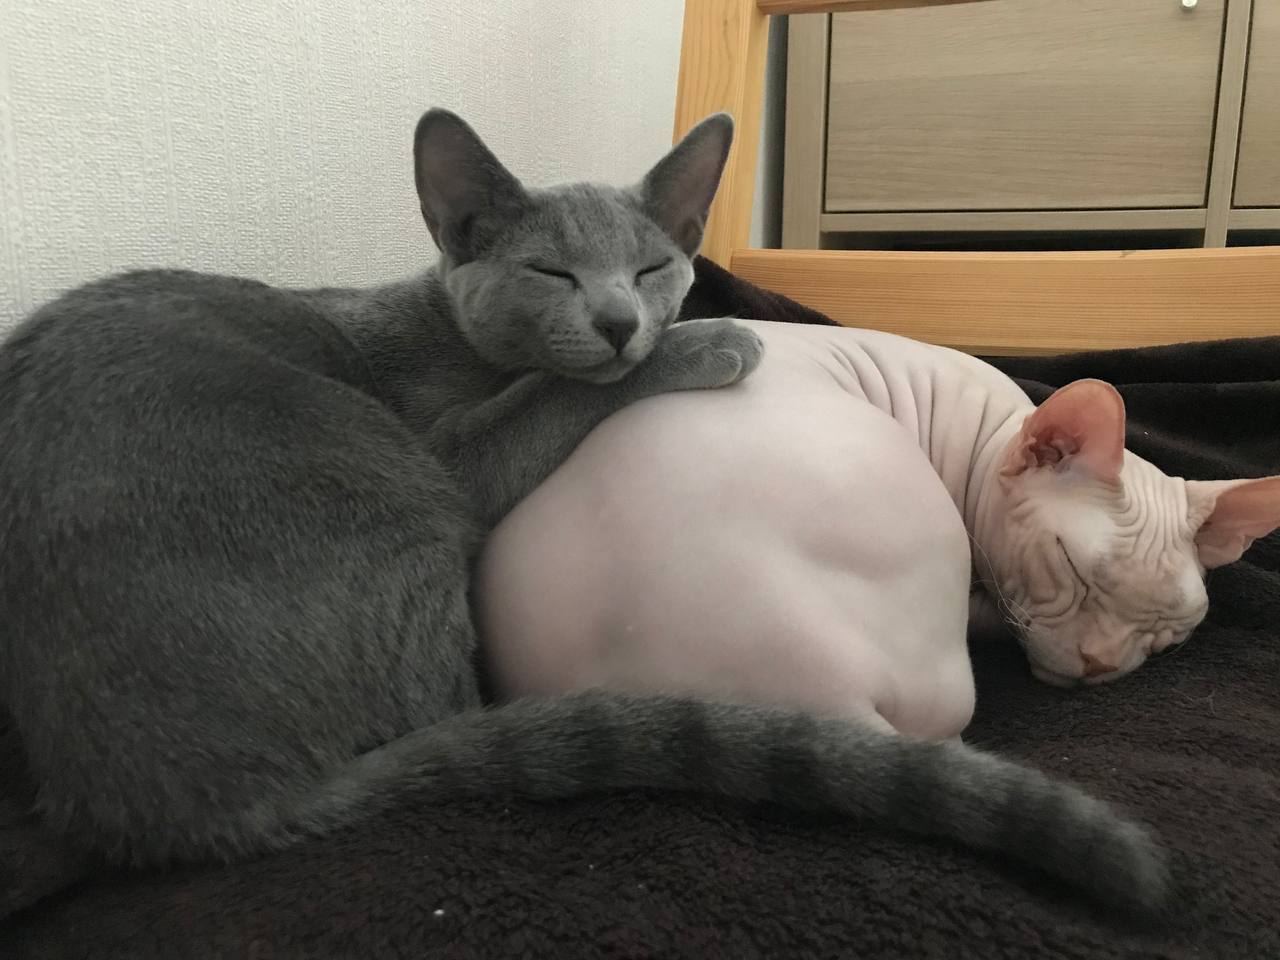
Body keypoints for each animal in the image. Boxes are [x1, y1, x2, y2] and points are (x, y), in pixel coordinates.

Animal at [0, 108, 1172, 911]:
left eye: (653, 264)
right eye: (551, 272)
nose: (619, 319)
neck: (449, 334)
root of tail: (179, 805)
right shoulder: (447, 446)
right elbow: (559, 390)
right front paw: (700, 345)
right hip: (390, 484)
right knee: (436, 705)